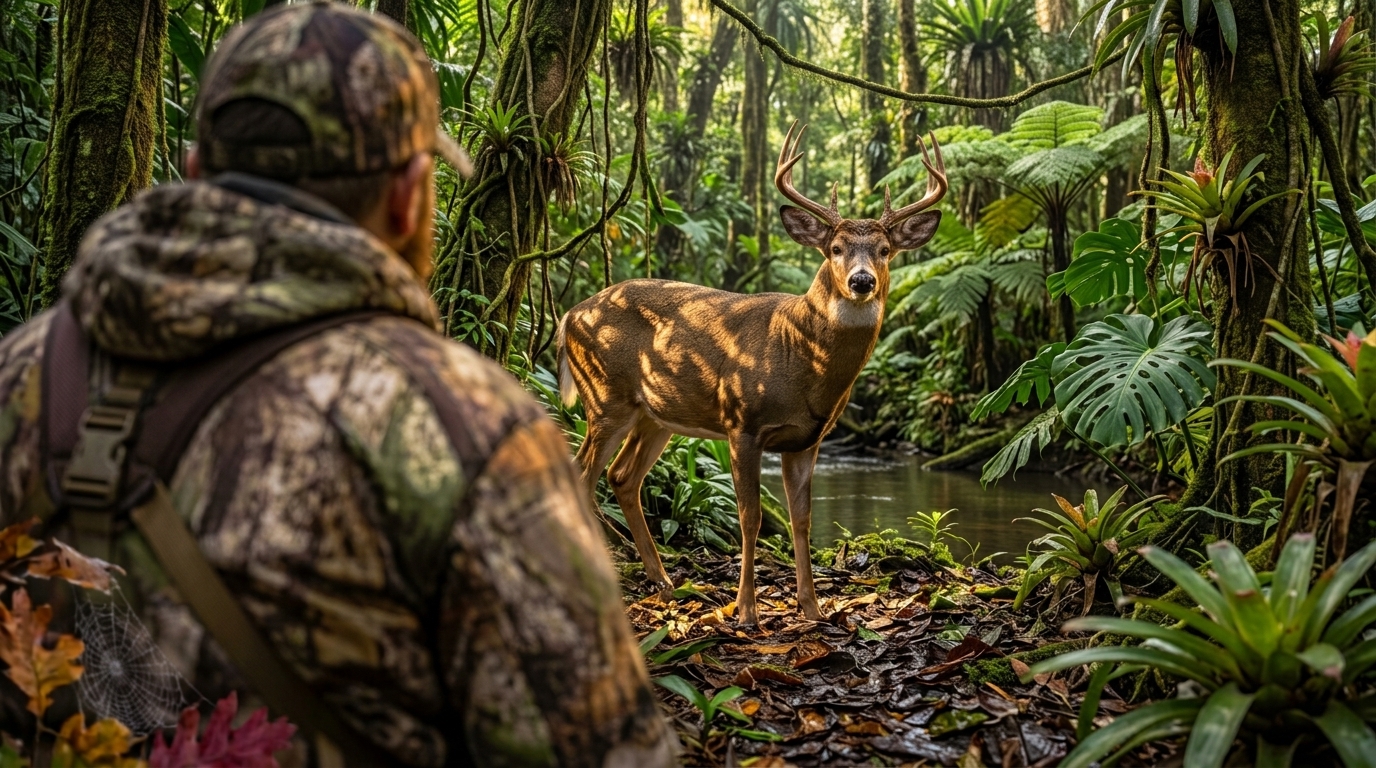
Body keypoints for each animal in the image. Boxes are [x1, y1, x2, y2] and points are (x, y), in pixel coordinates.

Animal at [557, 122, 947, 627]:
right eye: (835, 248)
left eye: (885, 250)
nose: (862, 281)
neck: (800, 358)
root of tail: (569, 315)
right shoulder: (742, 421)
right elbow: (752, 517)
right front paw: (745, 610)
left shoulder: (807, 440)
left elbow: (802, 519)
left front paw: (812, 608)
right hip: (605, 394)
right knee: (583, 472)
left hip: (655, 414)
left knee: (622, 476)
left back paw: (664, 582)